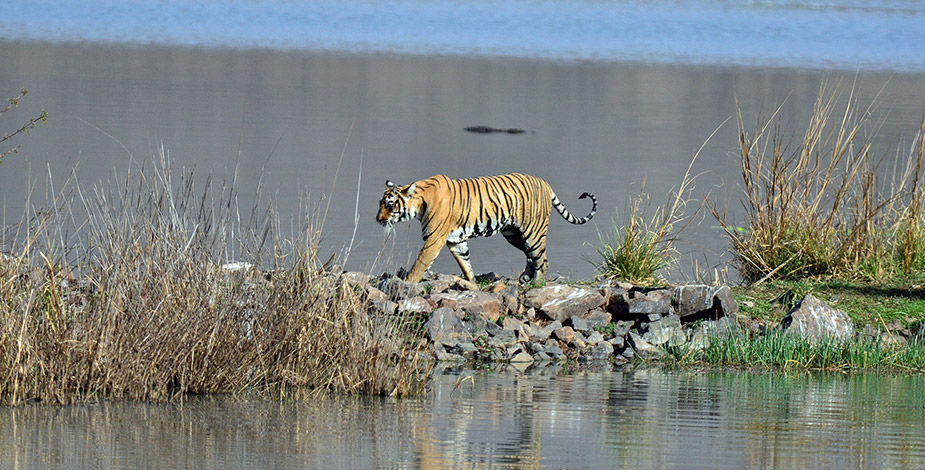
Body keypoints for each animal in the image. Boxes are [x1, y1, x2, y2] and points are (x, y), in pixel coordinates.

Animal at [378, 173, 600, 282]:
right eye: (380, 203)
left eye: (389, 205)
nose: (378, 219)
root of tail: (545, 183)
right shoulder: (456, 240)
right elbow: (465, 263)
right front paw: (472, 284)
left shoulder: (434, 239)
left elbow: (421, 263)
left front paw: (408, 283)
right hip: (514, 234)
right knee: (532, 256)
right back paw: (525, 278)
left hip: (533, 232)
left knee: (542, 259)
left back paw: (537, 282)